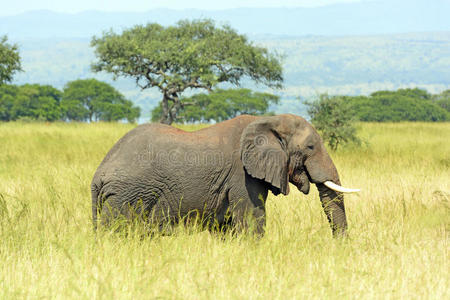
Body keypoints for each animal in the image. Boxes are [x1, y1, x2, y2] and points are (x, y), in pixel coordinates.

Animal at [90, 114, 358, 237]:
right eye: (310, 147)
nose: (339, 246)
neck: (268, 121)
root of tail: (98, 175)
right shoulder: (243, 176)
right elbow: (252, 220)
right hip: (126, 195)